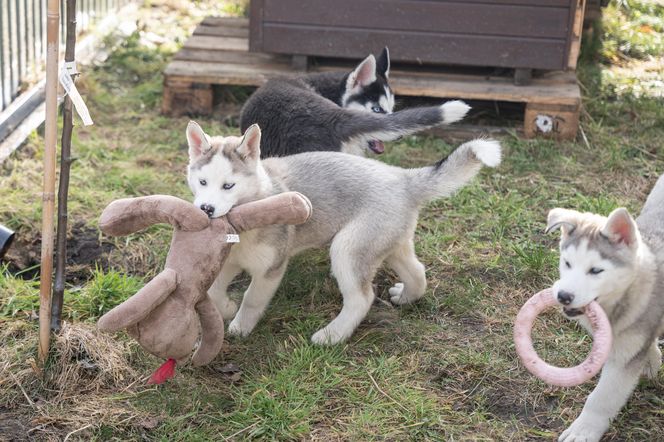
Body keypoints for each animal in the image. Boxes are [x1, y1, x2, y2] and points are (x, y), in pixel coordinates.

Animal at [184, 121, 500, 346]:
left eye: (228, 186)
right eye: (202, 182)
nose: (206, 209)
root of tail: (402, 178)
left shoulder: (270, 268)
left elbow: (252, 299)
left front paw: (240, 327)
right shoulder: (230, 261)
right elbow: (212, 291)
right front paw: (226, 308)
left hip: (347, 249)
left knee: (362, 298)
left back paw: (331, 336)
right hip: (388, 242)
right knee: (417, 272)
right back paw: (405, 297)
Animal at [544, 174, 664, 440]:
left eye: (596, 270)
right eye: (567, 263)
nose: (564, 296)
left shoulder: (623, 358)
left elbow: (602, 398)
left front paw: (584, 430)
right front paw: (650, 360)